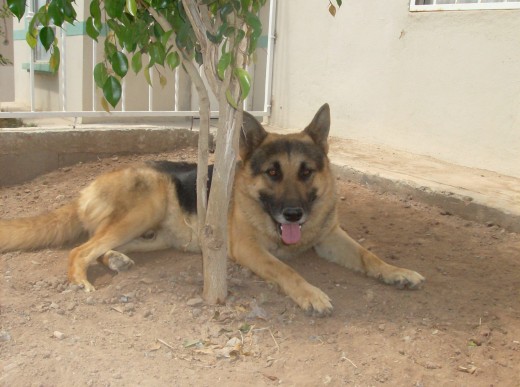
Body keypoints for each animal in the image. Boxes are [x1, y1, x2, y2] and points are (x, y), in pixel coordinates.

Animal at [0, 104, 422, 316]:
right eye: (272, 172)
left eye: (306, 172)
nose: (293, 214)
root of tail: (83, 191)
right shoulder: (249, 250)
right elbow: (286, 269)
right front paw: (311, 294)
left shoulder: (330, 237)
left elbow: (369, 255)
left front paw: (397, 272)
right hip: (145, 208)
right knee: (79, 250)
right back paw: (80, 280)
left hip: (151, 235)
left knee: (99, 247)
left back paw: (115, 260)